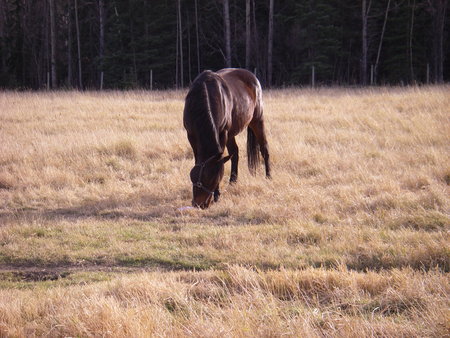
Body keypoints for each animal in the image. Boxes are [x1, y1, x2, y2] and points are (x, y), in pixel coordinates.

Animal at [183, 68, 270, 209]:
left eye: (214, 179)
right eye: (203, 178)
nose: (201, 205)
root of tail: (253, 77)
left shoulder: (222, 133)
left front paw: (217, 195)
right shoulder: (190, 134)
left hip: (257, 120)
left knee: (264, 148)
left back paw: (268, 176)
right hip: (232, 133)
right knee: (235, 152)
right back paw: (233, 181)